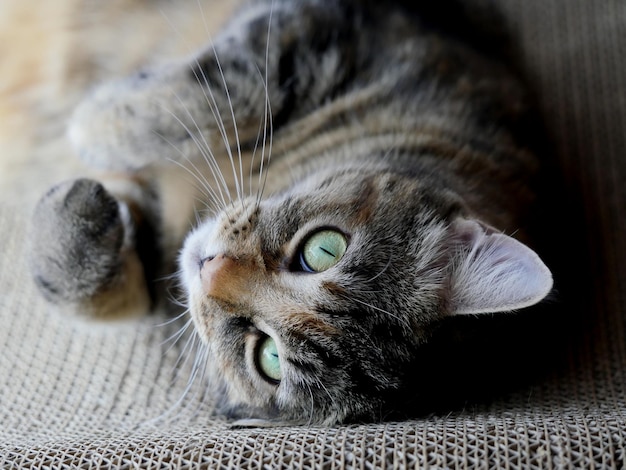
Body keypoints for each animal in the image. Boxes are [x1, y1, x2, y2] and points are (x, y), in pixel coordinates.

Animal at [28, 0, 552, 426]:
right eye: (323, 250)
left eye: (268, 358)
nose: (210, 267)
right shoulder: (327, 32)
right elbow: (228, 90)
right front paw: (98, 126)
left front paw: (84, 164)